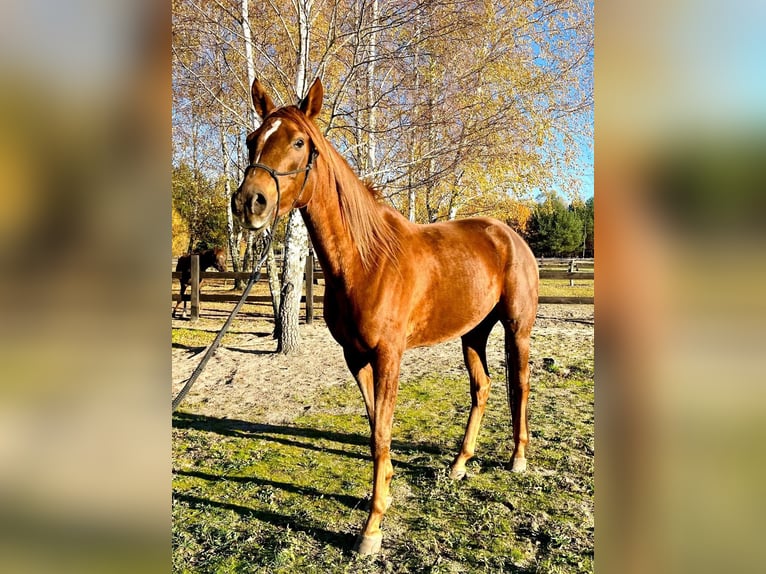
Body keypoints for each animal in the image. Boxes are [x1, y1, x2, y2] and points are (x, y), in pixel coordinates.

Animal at [231, 79, 536, 556]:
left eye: (299, 142)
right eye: (251, 140)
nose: (249, 203)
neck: (365, 260)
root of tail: (510, 235)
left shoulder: (389, 355)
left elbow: (380, 435)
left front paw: (371, 529)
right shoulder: (356, 357)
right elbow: (377, 426)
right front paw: (386, 496)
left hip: (517, 329)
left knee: (518, 387)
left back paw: (517, 458)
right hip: (473, 333)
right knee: (482, 389)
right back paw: (459, 464)